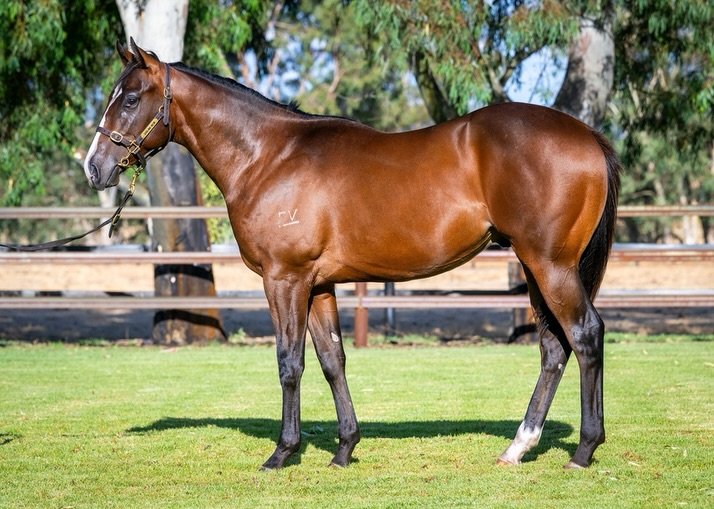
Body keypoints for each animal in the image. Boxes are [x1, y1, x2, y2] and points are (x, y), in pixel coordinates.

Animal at [84, 39, 620, 470]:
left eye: (130, 98)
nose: (94, 167)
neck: (267, 157)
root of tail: (587, 136)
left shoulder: (284, 279)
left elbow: (289, 362)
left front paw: (282, 452)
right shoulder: (319, 284)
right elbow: (332, 360)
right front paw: (344, 449)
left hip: (550, 265)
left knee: (585, 335)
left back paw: (583, 451)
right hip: (535, 267)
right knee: (553, 348)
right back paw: (518, 447)